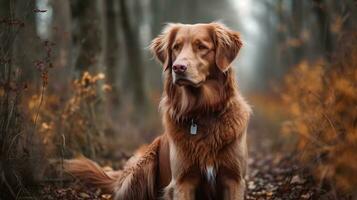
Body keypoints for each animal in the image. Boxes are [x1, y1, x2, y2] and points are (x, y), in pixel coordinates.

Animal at [65, 22, 252, 199]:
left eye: (201, 47)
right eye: (176, 47)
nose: (178, 67)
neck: (202, 112)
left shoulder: (234, 180)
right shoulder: (182, 181)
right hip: (143, 165)